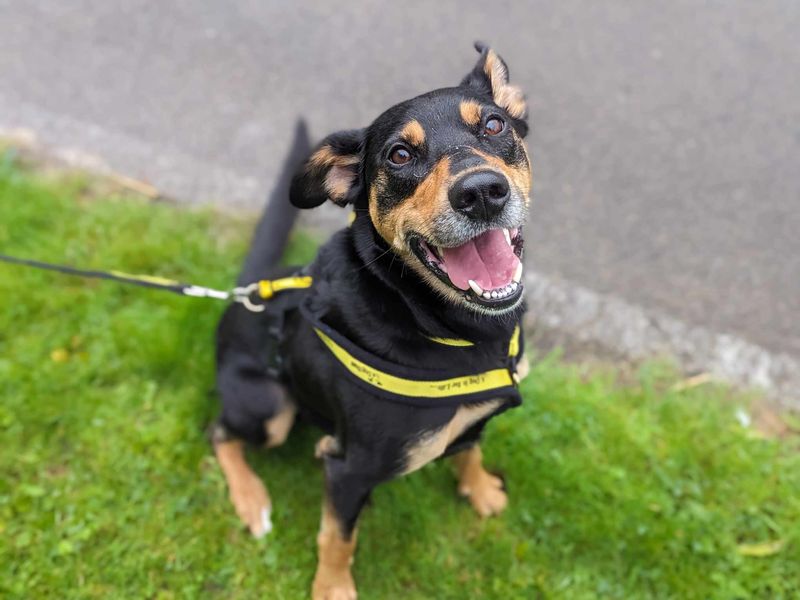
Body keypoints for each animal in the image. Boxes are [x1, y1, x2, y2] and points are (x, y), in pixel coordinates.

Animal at [214, 43, 532, 600]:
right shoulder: (348, 469)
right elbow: (339, 537)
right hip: (269, 407)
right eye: (399, 155)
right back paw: (252, 500)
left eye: (494, 125)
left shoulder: (474, 418)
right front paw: (333, 588)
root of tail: (246, 290)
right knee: (218, 432)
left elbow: (470, 449)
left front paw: (480, 490)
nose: (481, 192)